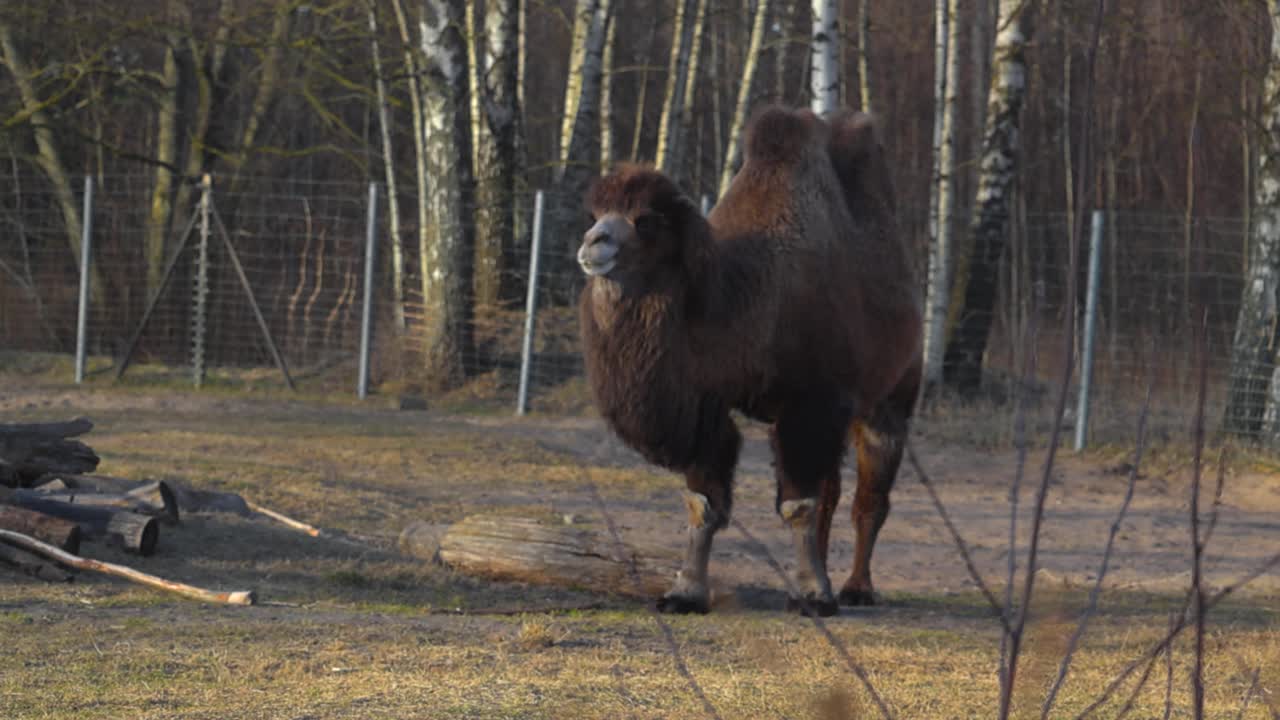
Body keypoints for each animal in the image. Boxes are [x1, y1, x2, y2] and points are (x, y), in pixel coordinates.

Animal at [576, 105, 922, 616]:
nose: (593, 243)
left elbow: (798, 503)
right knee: (833, 495)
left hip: (891, 399)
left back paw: (856, 587)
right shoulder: (709, 404)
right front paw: (685, 592)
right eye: (598, 214)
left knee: (869, 499)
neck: (743, 297)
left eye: (646, 220)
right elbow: (703, 500)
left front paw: (815, 596)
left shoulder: (814, 402)